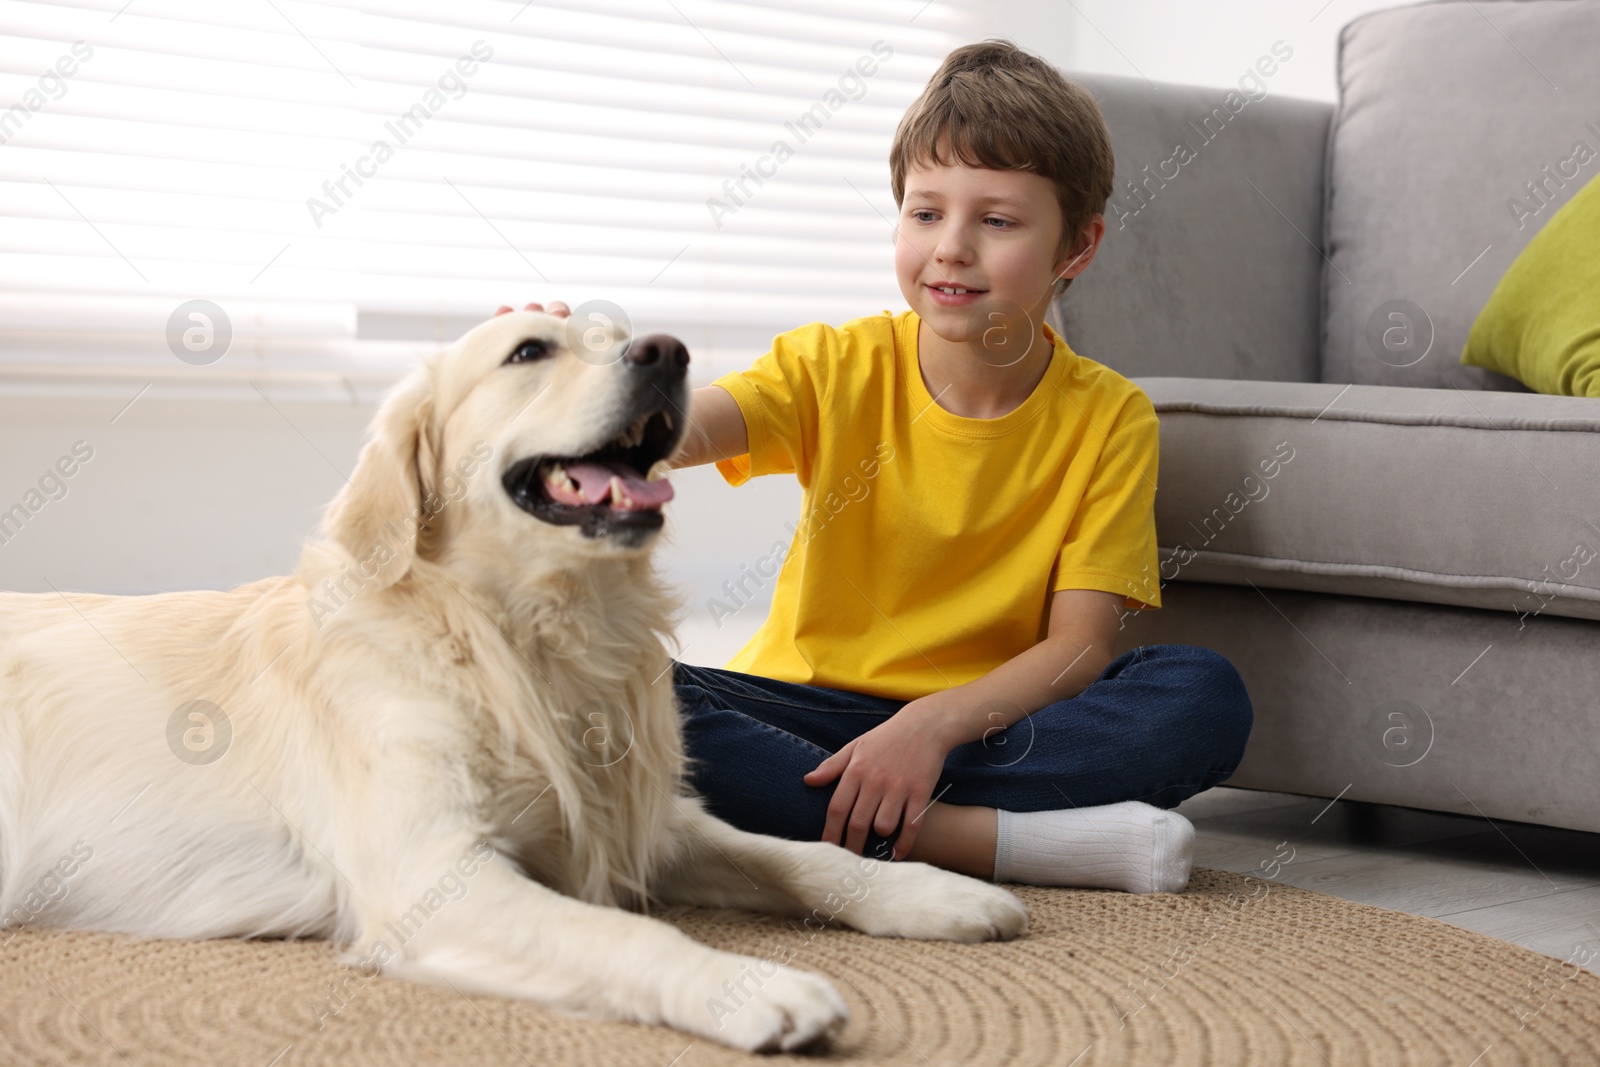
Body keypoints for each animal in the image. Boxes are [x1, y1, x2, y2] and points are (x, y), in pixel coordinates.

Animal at [0, 313, 1024, 1055]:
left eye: (624, 335)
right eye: (529, 350)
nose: (669, 350)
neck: (524, 636)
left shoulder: (646, 817)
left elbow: (800, 854)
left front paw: (936, 892)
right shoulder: (434, 877)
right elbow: (631, 935)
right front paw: (755, 987)